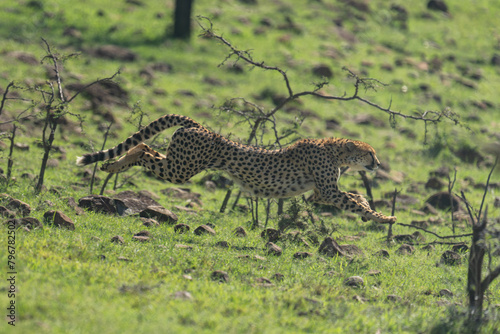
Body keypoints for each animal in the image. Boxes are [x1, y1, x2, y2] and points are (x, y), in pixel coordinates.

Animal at [76, 115, 396, 224]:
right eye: (370, 153)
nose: (378, 164)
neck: (336, 151)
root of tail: (199, 126)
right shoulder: (327, 190)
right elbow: (350, 200)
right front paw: (383, 217)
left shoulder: (318, 193)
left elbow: (351, 197)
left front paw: (367, 204)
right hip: (181, 168)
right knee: (143, 149)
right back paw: (114, 164)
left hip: (178, 162)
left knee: (144, 147)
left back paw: (111, 164)